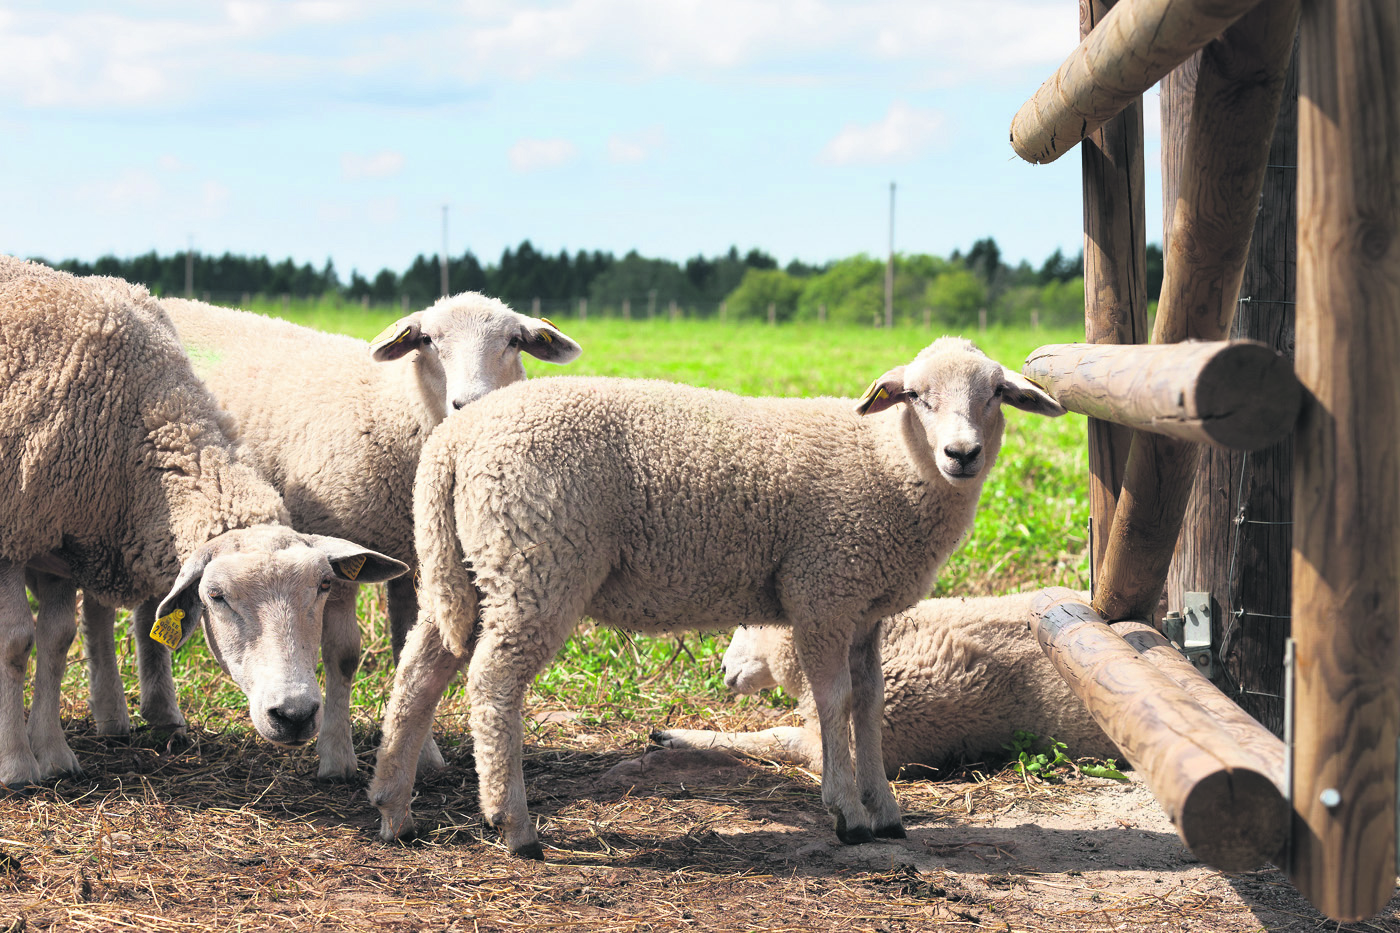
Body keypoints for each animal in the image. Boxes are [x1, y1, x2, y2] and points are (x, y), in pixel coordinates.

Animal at [0, 256, 406, 784]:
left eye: (322, 586)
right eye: (216, 596)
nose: (294, 715)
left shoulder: (55, 537)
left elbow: (56, 640)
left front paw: (52, 753)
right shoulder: (15, 534)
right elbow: (15, 643)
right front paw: (17, 763)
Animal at [75, 292, 579, 767]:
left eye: (513, 341)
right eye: (428, 340)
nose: (469, 404)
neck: (389, 406)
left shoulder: (406, 558)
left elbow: (404, 652)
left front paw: (422, 755)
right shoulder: (338, 548)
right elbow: (343, 655)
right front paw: (337, 758)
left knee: (152, 605)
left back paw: (161, 715)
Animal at [366, 337, 1064, 851]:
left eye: (997, 394)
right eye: (916, 396)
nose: (962, 453)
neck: (889, 466)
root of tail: (453, 442)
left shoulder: (865, 608)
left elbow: (869, 704)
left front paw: (886, 810)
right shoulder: (823, 591)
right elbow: (833, 702)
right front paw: (847, 812)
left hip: (467, 566)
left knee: (419, 670)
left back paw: (393, 805)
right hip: (536, 564)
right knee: (491, 683)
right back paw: (513, 825)